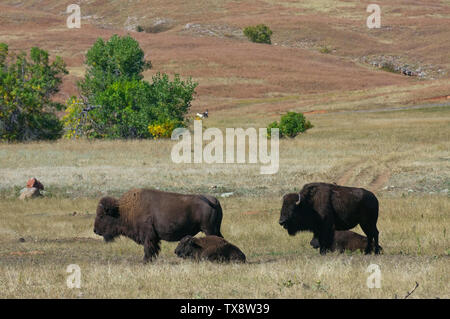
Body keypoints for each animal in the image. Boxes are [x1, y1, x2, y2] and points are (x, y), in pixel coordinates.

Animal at [93, 189, 223, 264]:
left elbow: (148, 248)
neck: (123, 210)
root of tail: (214, 200)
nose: (95, 230)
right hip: (214, 229)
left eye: (102, 216)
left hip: (208, 229)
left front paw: (145, 261)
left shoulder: (148, 235)